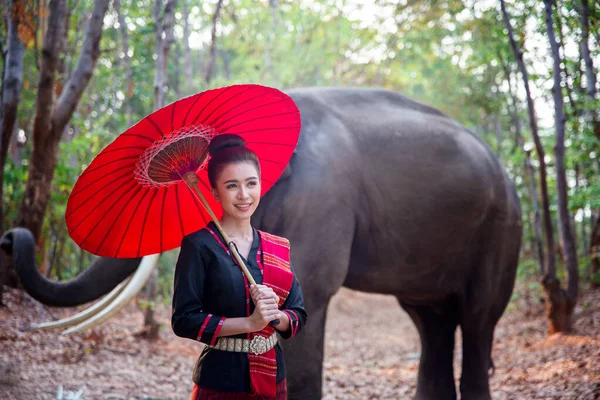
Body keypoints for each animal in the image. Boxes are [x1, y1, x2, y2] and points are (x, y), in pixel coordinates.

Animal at [0, 88, 520, 400]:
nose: (10, 237)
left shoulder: (323, 195)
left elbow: (308, 296)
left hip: (501, 226)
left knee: (477, 319)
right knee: (430, 321)